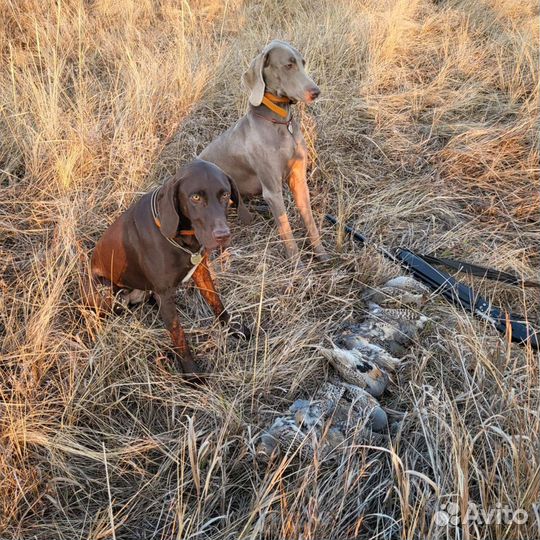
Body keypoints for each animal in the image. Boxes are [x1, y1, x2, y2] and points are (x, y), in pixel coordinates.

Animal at [85, 158, 253, 374]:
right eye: (195, 197)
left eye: (224, 194)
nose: (222, 235)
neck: (181, 237)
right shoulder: (164, 293)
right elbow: (178, 335)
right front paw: (192, 373)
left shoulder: (201, 271)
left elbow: (216, 301)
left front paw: (232, 328)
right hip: (105, 292)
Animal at [200, 39, 330, 260]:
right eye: (289, 65)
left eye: (303, 62)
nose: (316, 92)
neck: (280, 123)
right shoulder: (272, 191)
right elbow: (287, 231)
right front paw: (297, 266)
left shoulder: (299, 179)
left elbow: (310, 220)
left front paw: (321, 254)